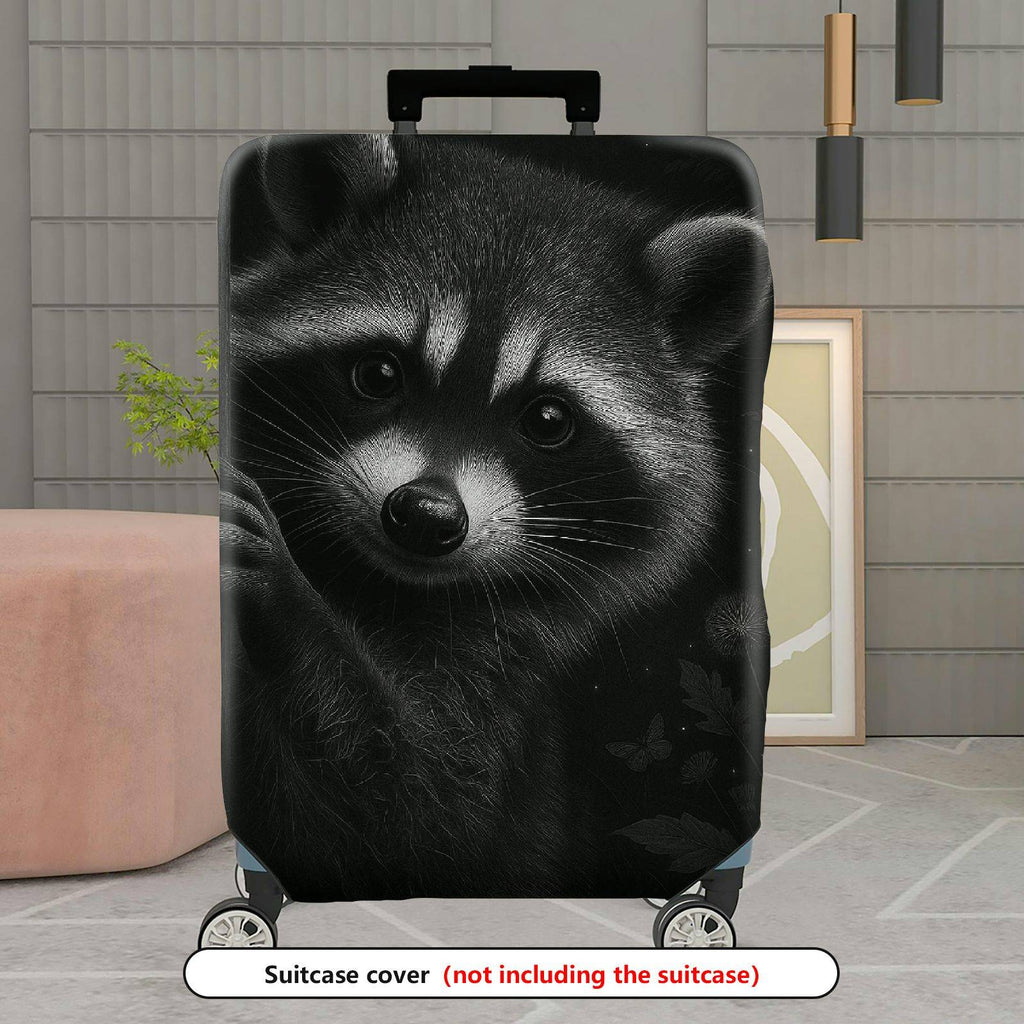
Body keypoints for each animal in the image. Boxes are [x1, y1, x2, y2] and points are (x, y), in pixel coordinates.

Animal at [220, 134, 770, 901]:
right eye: (379, 374)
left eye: (547, 418)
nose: (424, 515)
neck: (379, 581)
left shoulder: (498, 675)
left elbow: (418, 817)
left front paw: (290, 605)